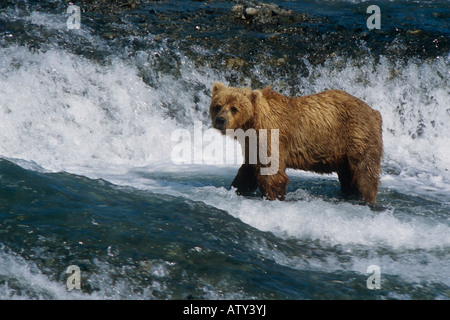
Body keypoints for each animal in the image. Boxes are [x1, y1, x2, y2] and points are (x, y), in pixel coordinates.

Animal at [210, 82, 384, 205]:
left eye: (234, 108)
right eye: (217, 106)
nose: (221, 120)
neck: (252, 123)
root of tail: (375, 112)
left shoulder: (272, 135)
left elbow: (272, 173)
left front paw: (274, 196)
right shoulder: (252, 144)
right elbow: (248, 171)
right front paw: (236, 188)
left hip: (357, 136)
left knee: (364, 175)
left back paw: (366, 199)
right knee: (348, 177)